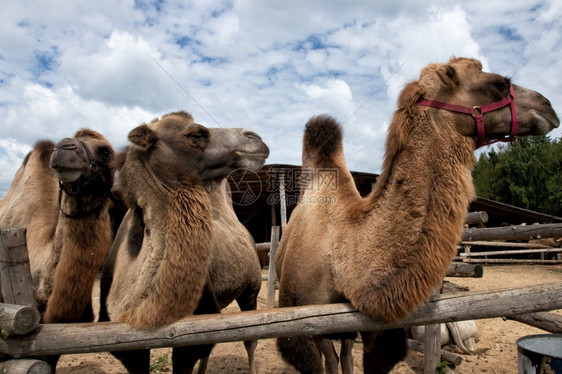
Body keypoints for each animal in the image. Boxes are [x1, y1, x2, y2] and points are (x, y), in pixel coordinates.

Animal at [97, 111, 268, 374]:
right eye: (196, 134)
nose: (255, 137)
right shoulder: (126, 345)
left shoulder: (189, 334)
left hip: (251, 288)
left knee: (250, 338)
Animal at [274, 57, 556, 372]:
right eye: (499, 84)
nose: (549, 107)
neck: (344, 257)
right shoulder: (299, 324)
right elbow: (320, 358)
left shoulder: (376, 328)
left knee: (344, 352)